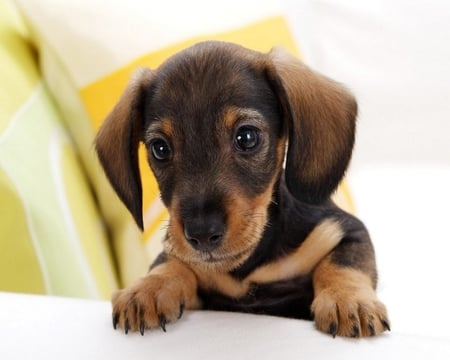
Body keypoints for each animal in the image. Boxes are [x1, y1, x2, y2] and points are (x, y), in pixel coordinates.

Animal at [96, 40, 390, 338]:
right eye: (160, 149)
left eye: (247, 137)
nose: (201, 234)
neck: (250, 263)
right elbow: (170, 263)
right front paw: (148, 289)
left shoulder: (345, 231)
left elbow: (342, 265)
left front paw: (348, 300)